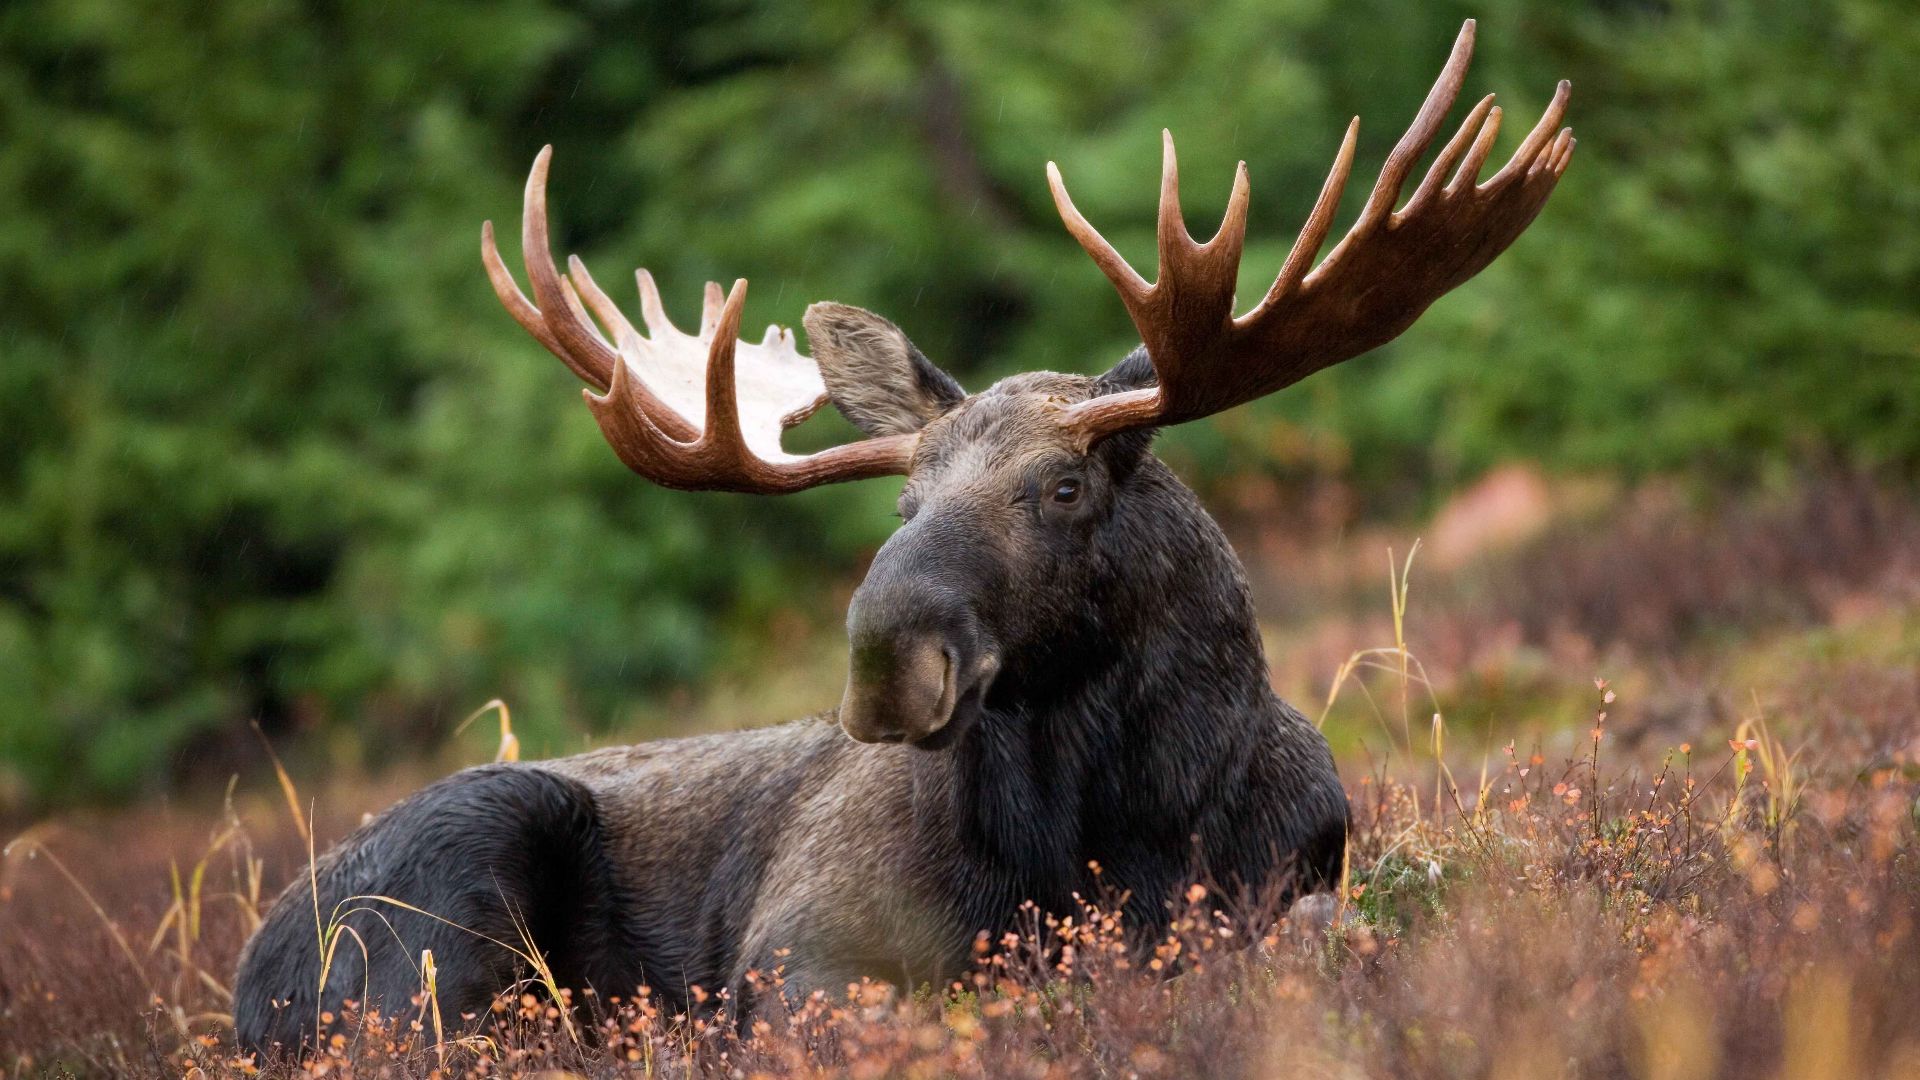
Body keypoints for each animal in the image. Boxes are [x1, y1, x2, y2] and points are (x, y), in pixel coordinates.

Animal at [233, 20, 1572, 1055]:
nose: (886, 659)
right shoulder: (798, 952)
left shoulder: (1294, 883)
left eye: (1064, 487)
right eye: (903, 504)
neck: (1118, 829)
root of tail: (249, 981)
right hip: (448, 896)